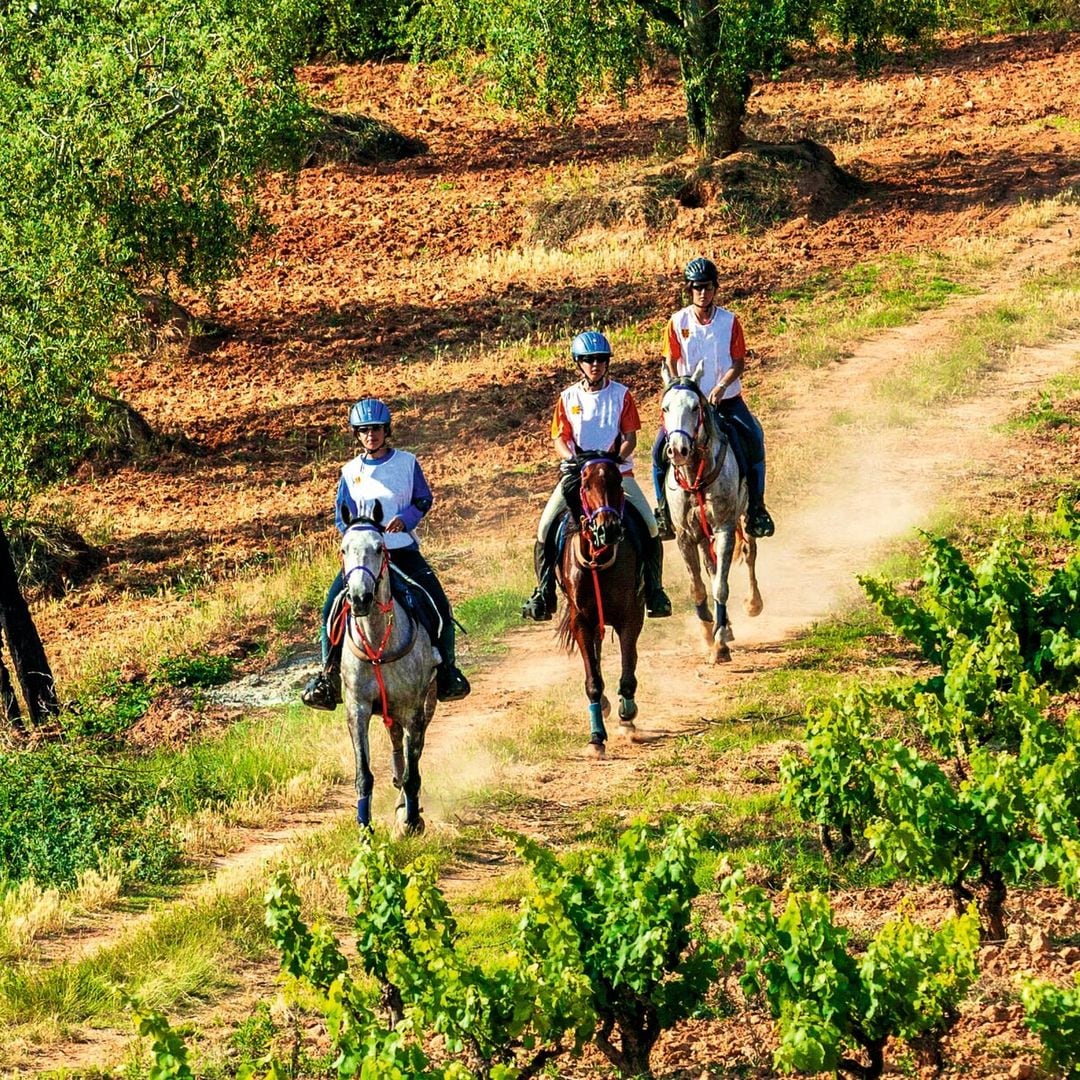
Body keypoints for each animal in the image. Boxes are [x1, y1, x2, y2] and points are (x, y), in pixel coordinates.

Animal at [557, 455, 639, 760]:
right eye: (585, 484)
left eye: (617, 481)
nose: (609, 529)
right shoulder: (581, 620)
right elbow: (592, 679)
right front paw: (596, 738)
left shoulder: (631, 616)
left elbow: (628, 668)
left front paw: (627, 716)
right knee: (596, 655)